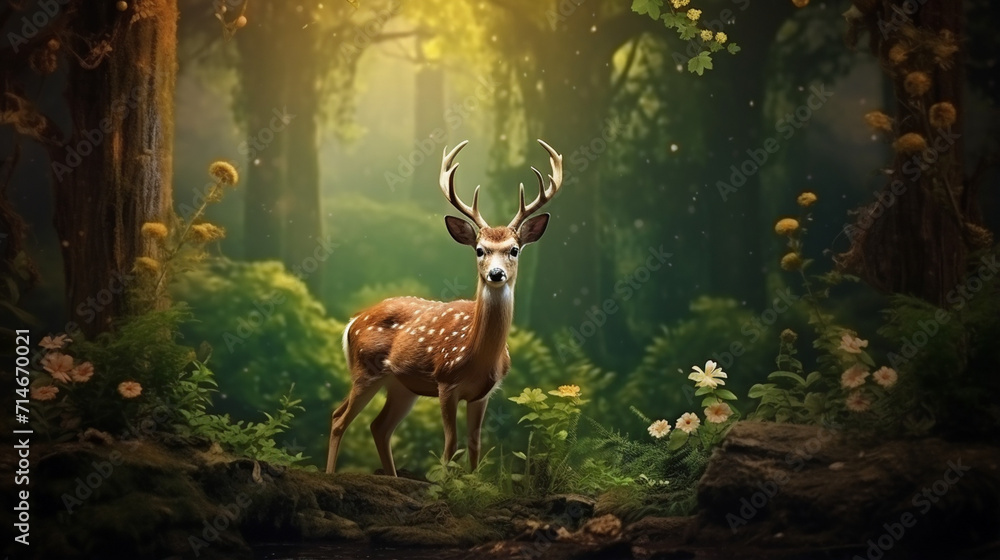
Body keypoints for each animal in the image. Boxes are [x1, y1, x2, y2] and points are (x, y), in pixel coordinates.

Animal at [325, 139, 564, 476]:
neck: (476, 357)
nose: (496, 274)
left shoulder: (483, 393)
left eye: (514, 250)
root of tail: (352, 322)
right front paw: (444, 484)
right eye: (480, 250)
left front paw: (472, 483)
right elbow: (451, 445)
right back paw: (329, 473)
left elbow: (475, 446)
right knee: (339, 418)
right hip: (365, 370)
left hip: (401, 385)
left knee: (379, 427)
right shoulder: (445, 383)